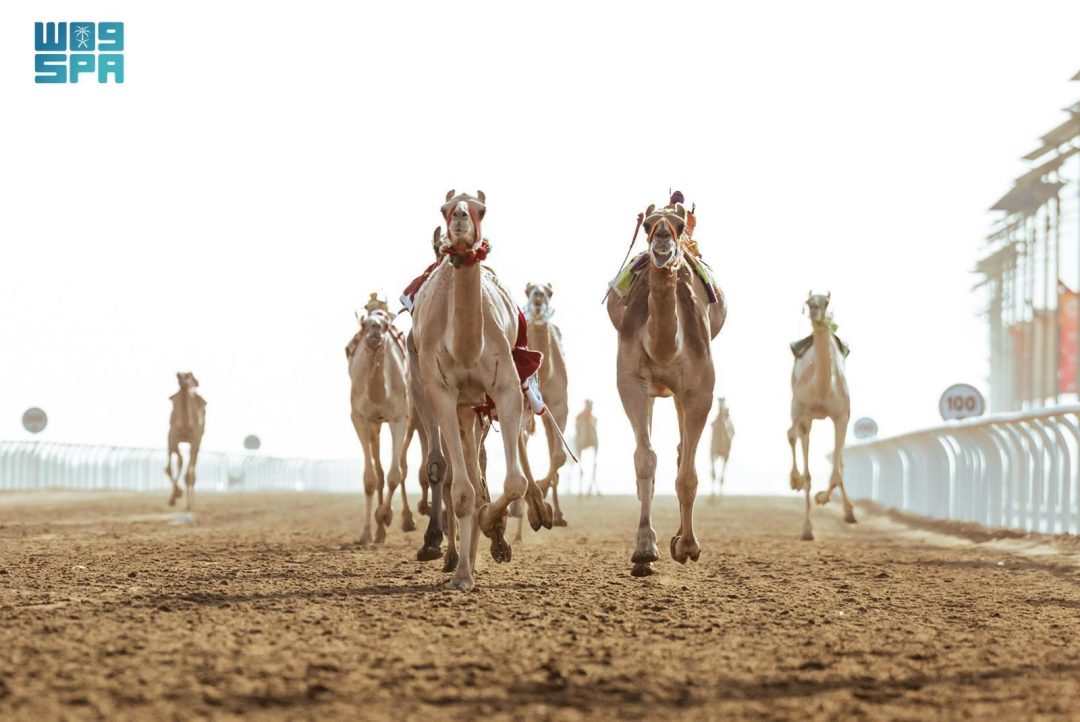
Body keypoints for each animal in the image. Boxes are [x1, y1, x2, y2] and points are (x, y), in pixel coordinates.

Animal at [165, 372, 206, 511]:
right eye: (179, 374)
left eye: (189, 376)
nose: (179, 375)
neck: (185, 425)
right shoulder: (171, 437)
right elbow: (169, 468)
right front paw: (174, 496)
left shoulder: (194, 439)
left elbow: (188, 475)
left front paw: (187, 503)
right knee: (181, 461)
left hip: (198, 441)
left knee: (192, 469)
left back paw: (191, 503)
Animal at [347, 301, 414, 547]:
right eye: (363, 324)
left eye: (384, 324)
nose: (374, 331)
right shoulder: (360, 418)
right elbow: (370, 478)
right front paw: (367, 533)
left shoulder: (400, 418)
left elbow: (396, 474)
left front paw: (385, 515)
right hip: (375, 425)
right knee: (379, 471)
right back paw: (378, 532)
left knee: (403, 466)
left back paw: (406, 520)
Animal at [410, 190, 552, 591]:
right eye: (445, 208)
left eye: (482, 209)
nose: (459, 217)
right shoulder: (442, 395)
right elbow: (460, 488)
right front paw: (461, 575)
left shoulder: (505, 389)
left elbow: (515, 482)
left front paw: (494, 525)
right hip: (460, 408)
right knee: (465, 477)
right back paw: (463, 563)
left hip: (485, 405)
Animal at [607, 203, 725, 577]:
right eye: (646, 225)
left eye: (677, 225)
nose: (662, 238)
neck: (665, 348)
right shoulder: (630, 381)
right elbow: (645, 459)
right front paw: (645, 548)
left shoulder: (700, 391)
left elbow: (688, 472)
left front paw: (687, 545)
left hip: (681, 395)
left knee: (682, 451)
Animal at [788, 292, 855, 540]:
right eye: (808, 303)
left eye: (826, 302)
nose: (815, 311)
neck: (823, 388)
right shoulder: (805, 415)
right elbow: (809, 476)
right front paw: (807, 529)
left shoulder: (842, 416)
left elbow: (837, 470)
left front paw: (824, 499)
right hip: (796, 408)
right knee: (791, 434)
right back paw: (794, 480)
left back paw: (849, 512)